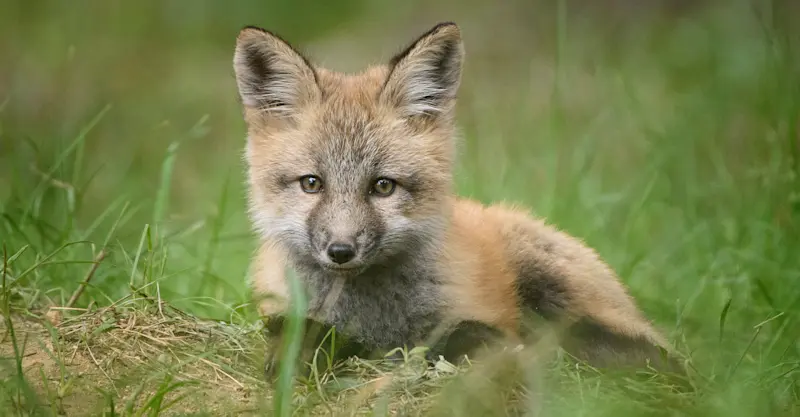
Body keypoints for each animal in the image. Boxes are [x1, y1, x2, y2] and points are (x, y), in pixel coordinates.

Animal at [232, 22, 683, 379]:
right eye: (312, 183)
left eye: (383, 186)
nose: (341, 251)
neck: (370, 313)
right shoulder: (278, 307)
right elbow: (302, 328)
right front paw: (298, 353)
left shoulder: (477, 321)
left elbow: (452, 339)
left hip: (550, 280)